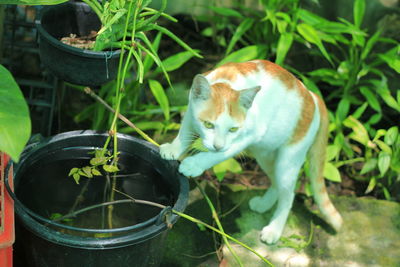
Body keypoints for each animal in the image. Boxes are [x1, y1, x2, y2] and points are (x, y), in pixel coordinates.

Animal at [161, 59, 342, 244]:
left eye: (233, 129)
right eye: (208, 125)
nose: (218, 145)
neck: (228, 82)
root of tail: (312, 96)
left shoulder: (249, 136)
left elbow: (217, 155)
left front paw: (194, 164)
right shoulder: (190, 112)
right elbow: (185, 131)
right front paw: (173, 148)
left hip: (288, 159)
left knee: (288, 194)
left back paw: (274, 229)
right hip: (266, 155)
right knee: (275, 182)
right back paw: (264, 204)